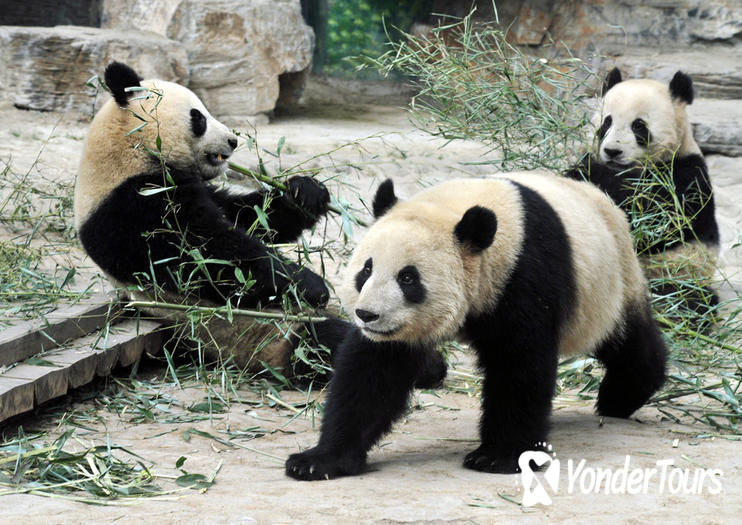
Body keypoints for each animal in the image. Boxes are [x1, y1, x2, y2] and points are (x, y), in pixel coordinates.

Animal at [74, 62, 354, 376]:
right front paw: (311, 284)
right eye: (198, 117)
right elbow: (211, 258)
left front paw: (305, 192)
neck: (128, 151)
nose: (233, 140)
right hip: (264, 334)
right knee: (329, 342)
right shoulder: (132, 208)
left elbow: (247, 216)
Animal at [284, 173, 668, 478]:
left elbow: (519, 366)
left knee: (625, 340)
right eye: (366, 269)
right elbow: (371, 374)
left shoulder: (524, 274)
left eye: (408, 278)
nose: (367, 315)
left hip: (608, 284)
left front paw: (499, 457)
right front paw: (320, 461)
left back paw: (622, 395)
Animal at [568, 66, 720, 312]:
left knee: (687, 300)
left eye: (638, 125)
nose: (612, 152)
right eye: (607, 122)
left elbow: (656, 219)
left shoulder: (685, 175)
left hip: (679, 274)